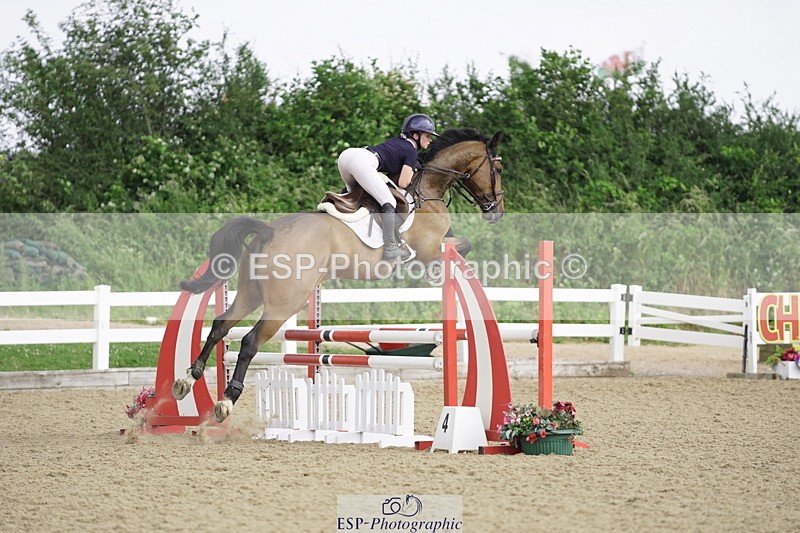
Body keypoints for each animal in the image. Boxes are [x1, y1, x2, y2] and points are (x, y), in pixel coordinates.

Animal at [171, 128, 505, 422]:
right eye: (498, 168)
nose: (496, 211)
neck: (429, 191)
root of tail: (268, 231)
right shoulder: (430, 248)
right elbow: (461, 247)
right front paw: (436, 273)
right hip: (285, 303)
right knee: (250, 341)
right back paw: (227, 399)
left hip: (249, 293)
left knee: (220, 325)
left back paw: (189, 378)